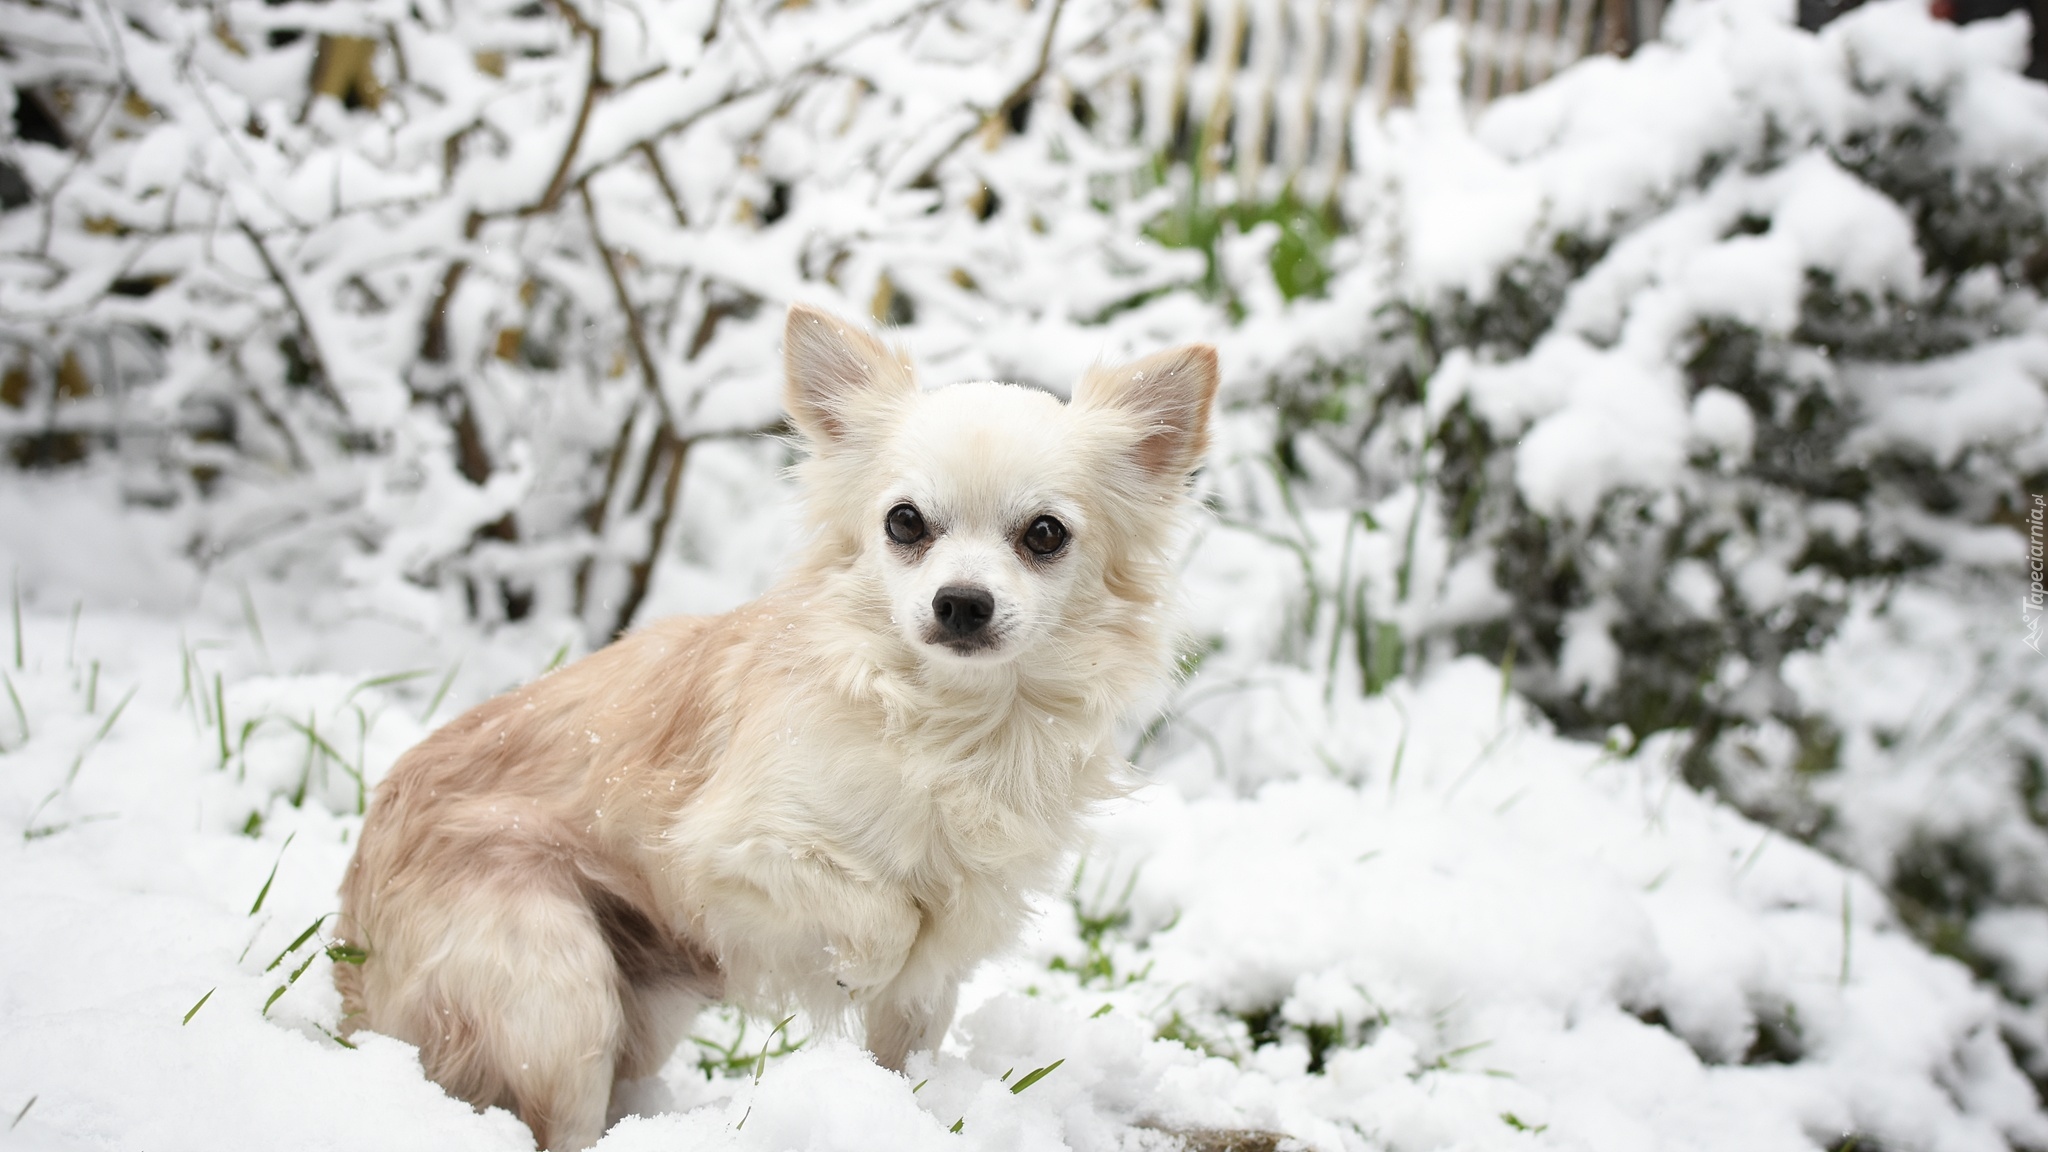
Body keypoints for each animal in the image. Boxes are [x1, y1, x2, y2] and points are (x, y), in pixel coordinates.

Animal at [335, 301, 1212, 1139]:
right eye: (904, 523)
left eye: (1045, 535)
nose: (961, 602)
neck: (952, 724)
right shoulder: (724, 850)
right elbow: (885, 914)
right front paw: (858, 964)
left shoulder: (947, 957)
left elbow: (910, 1030)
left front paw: (904, 1115)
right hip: (558, 987)